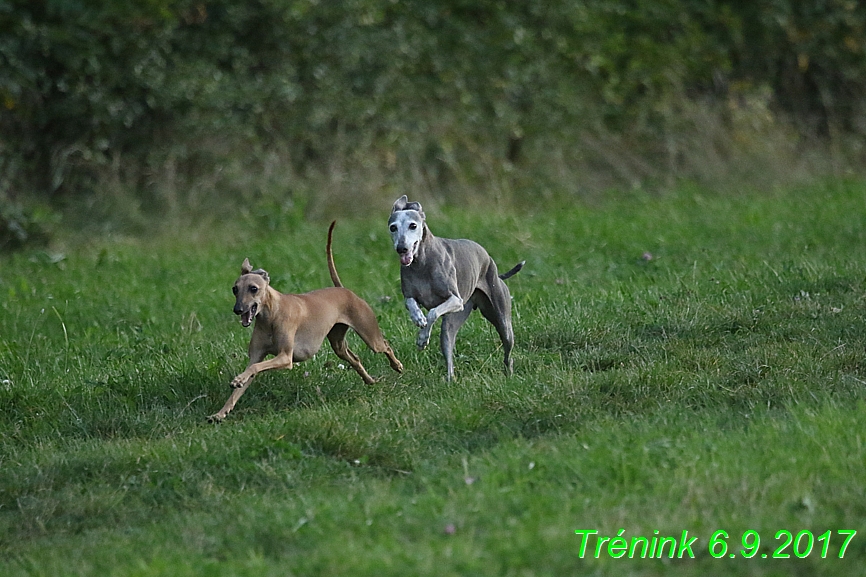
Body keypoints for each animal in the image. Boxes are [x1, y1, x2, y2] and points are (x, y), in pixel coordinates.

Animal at [209, 223, 402, 420]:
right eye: (235, 289)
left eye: (253, 288)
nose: (238, 309)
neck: (271, 316)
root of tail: (343, 289)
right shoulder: (257, 355)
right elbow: (243, 382)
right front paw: (221, 412)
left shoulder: (285, 357)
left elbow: (255, 367)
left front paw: (237, 381)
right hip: (338, 344)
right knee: (354, 359)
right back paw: (369, 380)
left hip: (370, 335)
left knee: (385, 345)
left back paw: (397, 366)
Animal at [388, 196, 524, 380]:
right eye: (393, 227)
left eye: (413, 225)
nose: (401, 248)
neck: (422, 263)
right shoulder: (410, 294)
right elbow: (411, 303)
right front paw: (418, 318)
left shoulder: (456, 301)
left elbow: (433, 313)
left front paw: (422, 338)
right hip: (452, 324)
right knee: (448, 346)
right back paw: (449, 380)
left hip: (501, 318)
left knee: (507, 348)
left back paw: (508, 373)